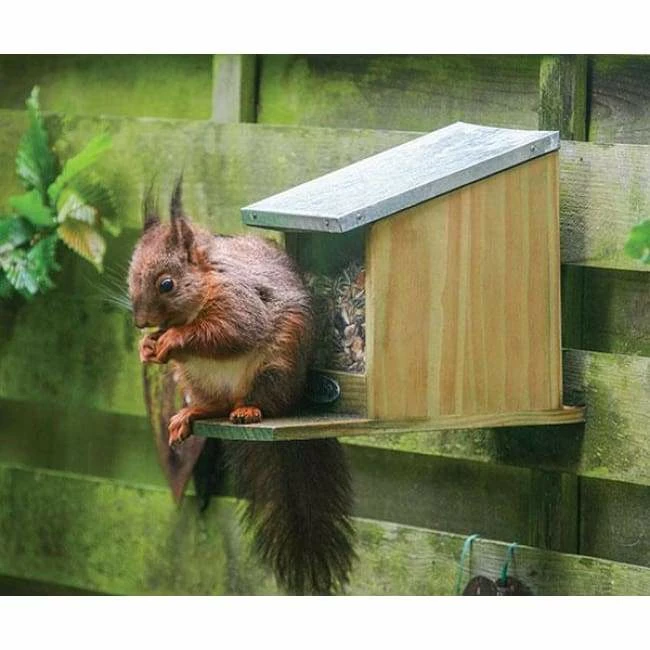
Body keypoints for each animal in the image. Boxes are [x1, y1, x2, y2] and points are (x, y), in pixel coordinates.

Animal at [128, 182, 356, 594]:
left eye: (167, 284)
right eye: (130, 276)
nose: (140, 322)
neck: (207, 281)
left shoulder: (241, 301)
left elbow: (230, 331)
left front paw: (172, 340)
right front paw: (147, 347)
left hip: (275, 368)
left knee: (264, 402)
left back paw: (250, 409)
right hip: (198, 381)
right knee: (216, 405)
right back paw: (190, 414)